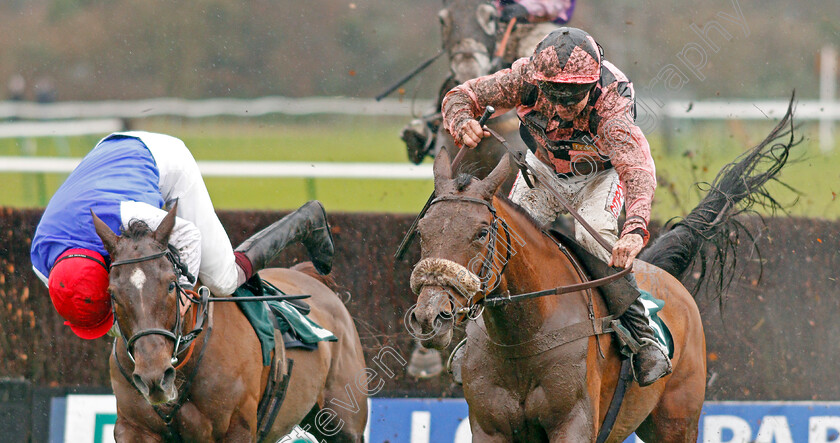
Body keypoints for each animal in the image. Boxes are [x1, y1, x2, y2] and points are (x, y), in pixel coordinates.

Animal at [92, 209, 368, 443]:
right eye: (113, 293)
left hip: (344, 422)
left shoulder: (237, 427)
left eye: (171, 284)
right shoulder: (134, 428)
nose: (154, 377)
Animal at [410, 109, 796, 442]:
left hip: (676, 420)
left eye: (480, 233)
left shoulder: (573, 425)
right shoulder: (490, 430)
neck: (523, 337)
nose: (430, 315)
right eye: (422, 230)